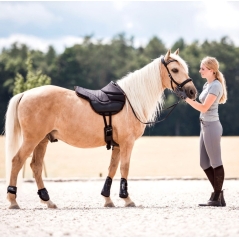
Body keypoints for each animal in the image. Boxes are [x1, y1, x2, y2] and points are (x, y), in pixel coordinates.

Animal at [5, 49, 196, 208]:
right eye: (175, 70)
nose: (192, 92)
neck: (130, 102)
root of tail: (25, 94)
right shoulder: (127, 143)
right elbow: (124, 168)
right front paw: (127, 199)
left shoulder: (117, 145)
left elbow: (112, 168)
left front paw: (107, 199)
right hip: (32, 140)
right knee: (17, 161)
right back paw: (13, 200)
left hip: (42, 140)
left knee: (35, 166)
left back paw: (48, 201)